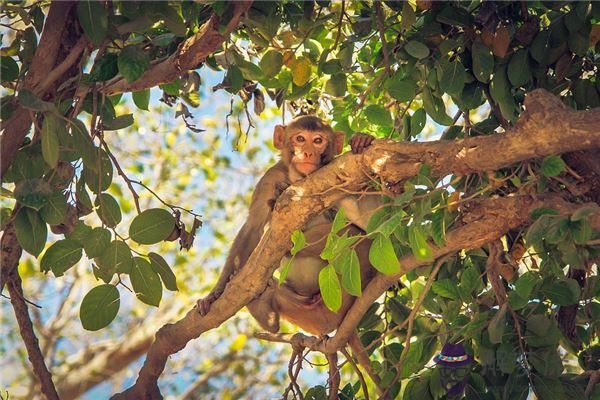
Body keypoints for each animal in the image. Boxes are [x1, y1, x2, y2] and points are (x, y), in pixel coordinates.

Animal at [197, 116, 378, 338]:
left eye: (318, 140)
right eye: (300, 139)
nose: (307, 152)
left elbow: (368, 223)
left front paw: (362, 140)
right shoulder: (270, 178)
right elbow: (253, 227)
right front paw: (214, 295)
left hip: (341, 297)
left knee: (357, 234)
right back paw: (265, 312)